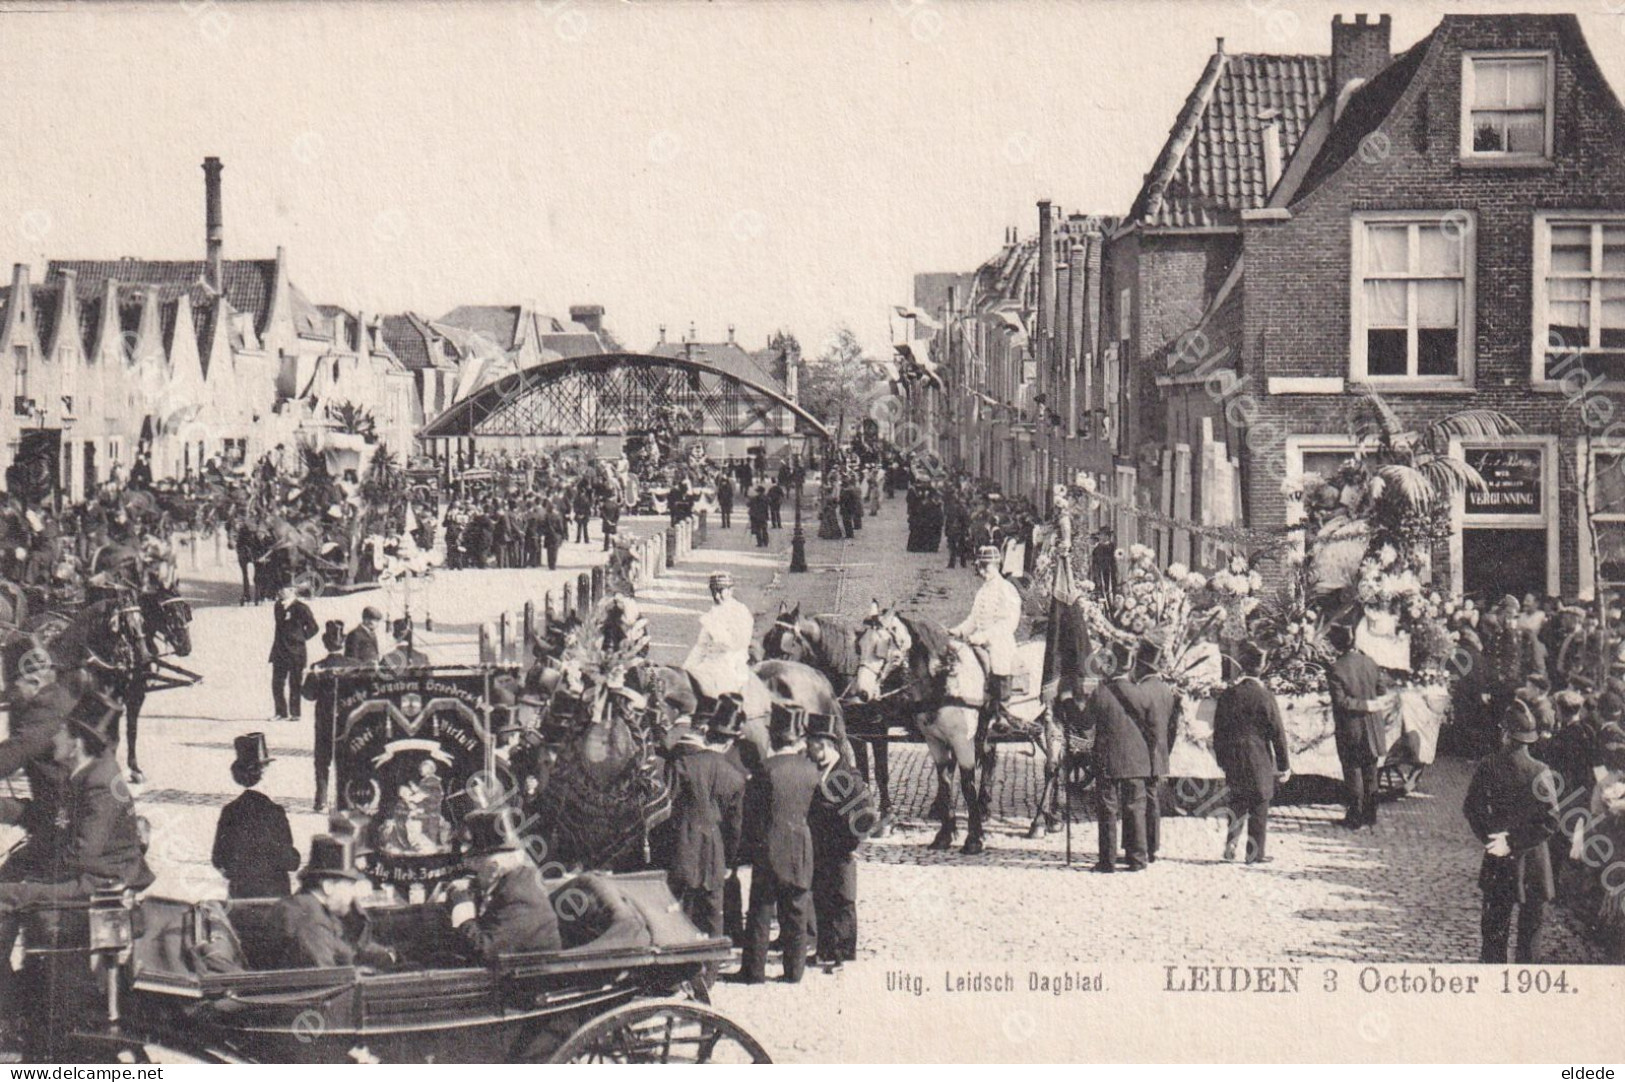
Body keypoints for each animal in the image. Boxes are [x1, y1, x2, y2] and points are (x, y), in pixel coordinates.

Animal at [763, 601, 903, 828]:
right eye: (766, 641)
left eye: (785, 647)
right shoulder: (856, 733)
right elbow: (863, 768)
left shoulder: (878, 728)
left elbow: (881, 771)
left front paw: (887, 813)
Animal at [858, 607, 994, 851]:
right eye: (859, 645)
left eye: (880, 646)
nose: (862, 692)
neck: (945, 679)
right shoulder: (935, 740)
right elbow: (945, 781)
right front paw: (944, 835)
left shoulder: (963, 740)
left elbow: (967, 785)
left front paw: (973, 839)